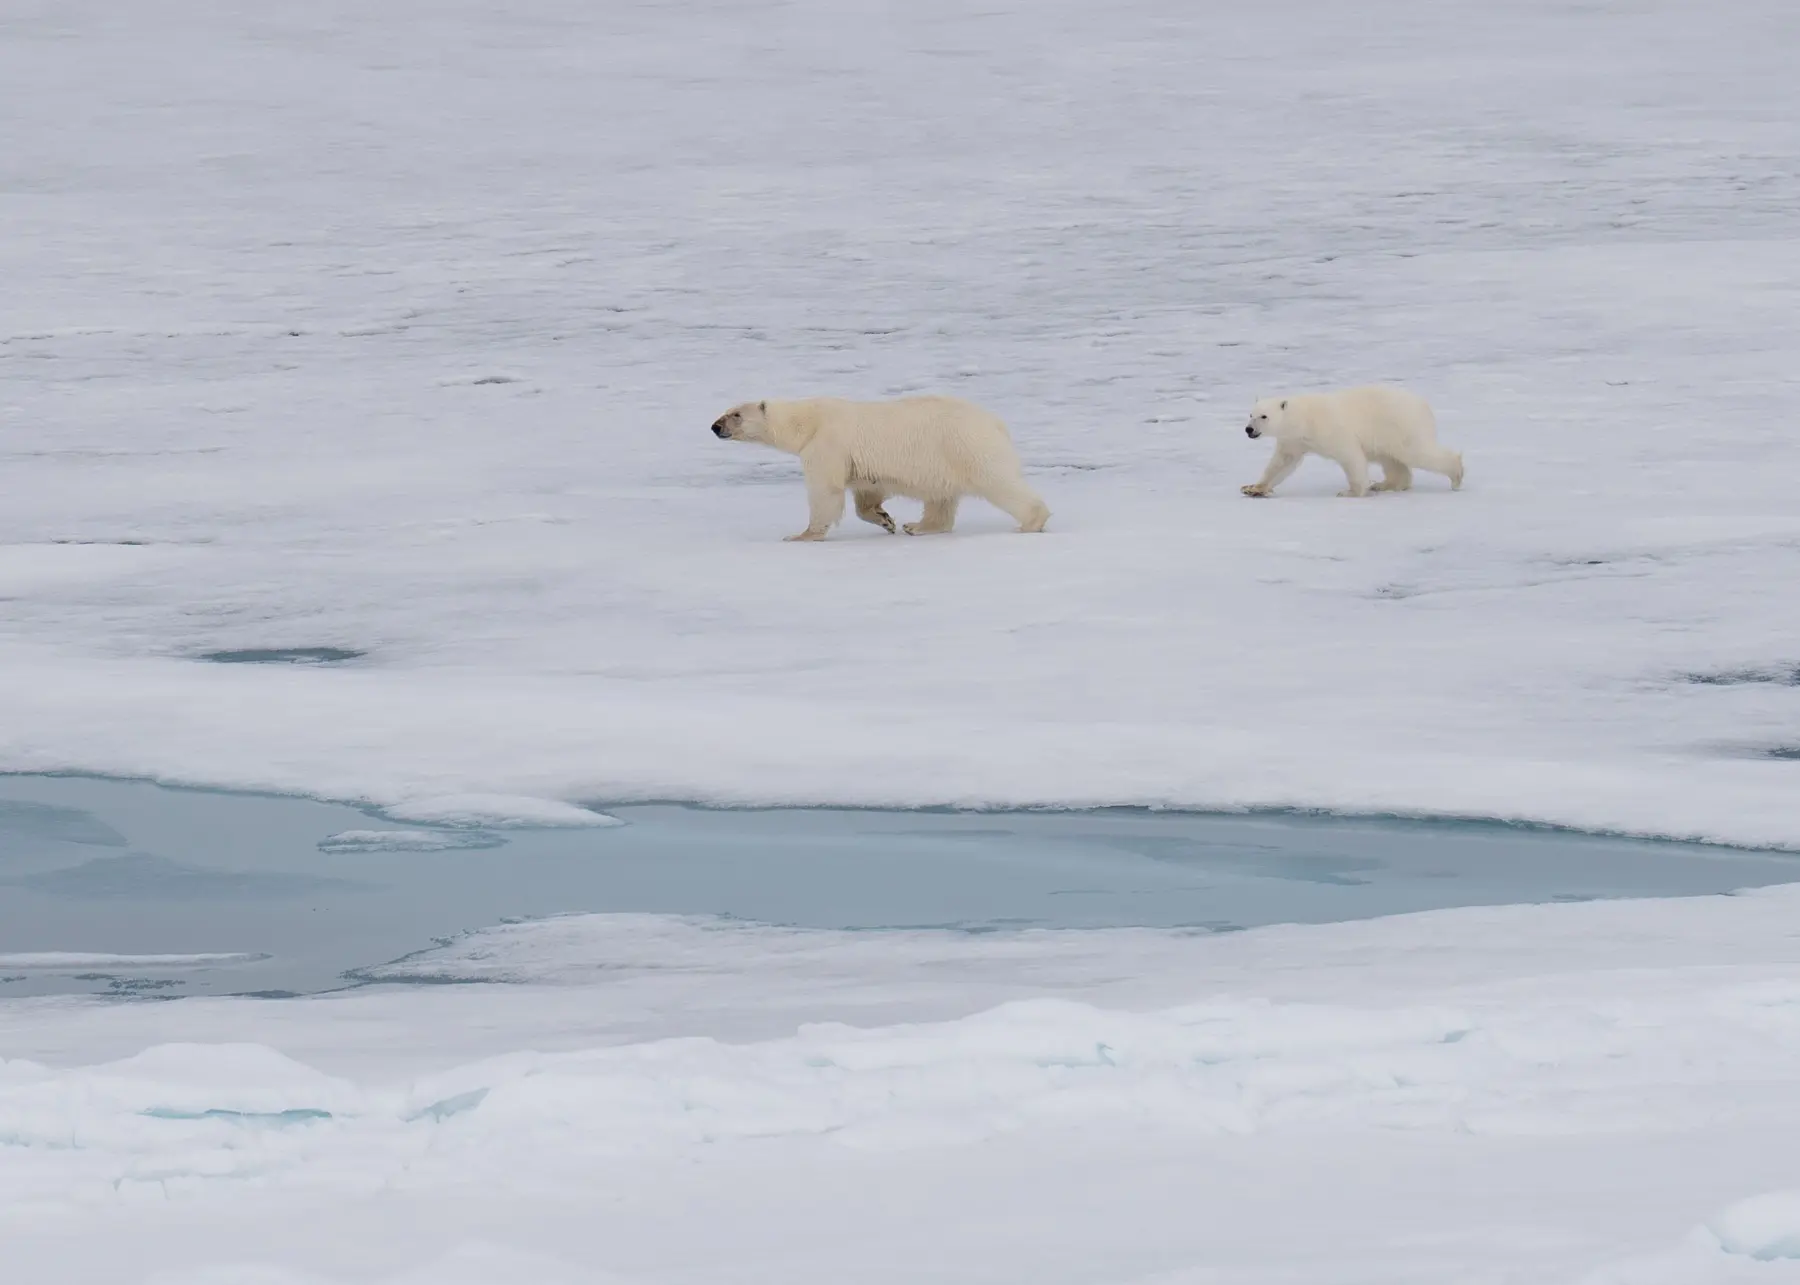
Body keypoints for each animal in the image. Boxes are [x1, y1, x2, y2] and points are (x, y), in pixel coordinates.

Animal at [710, 395, 1051, 541]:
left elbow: (825, 491)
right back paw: (918, 526)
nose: (715, 426)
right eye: (726, 411)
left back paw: (1030, 522)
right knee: (941, 498)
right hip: (944, 461)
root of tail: (996, 423)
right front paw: (885, 519)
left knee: (998, 482)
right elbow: (867, 491)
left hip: (965, 446)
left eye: (736, 414)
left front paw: (803, 535)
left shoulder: (828, 444)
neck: (808, 421)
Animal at [1240, 385, 1464, 498]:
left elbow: (1350, 455)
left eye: (1264, 416)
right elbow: (1282, 463)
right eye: (1251, 414)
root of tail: (1423, 404)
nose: (1249, 430)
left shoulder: (1331, 429)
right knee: (1392, 460)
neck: (1303, 419)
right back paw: (1384, 485)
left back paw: (1456, 477)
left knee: (1418, 452)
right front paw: (1253, 488)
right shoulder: (1292, 440)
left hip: (1400, 426)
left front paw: (1350, 492)